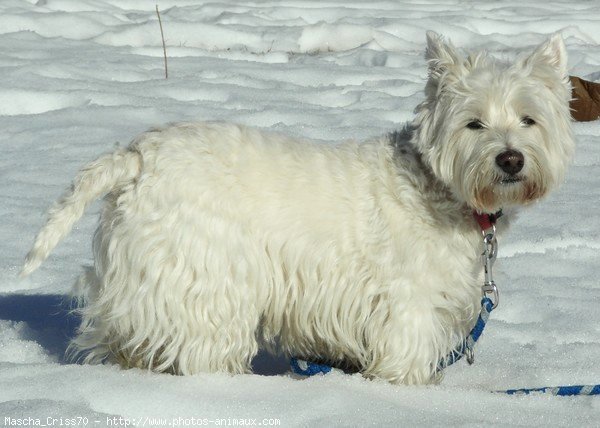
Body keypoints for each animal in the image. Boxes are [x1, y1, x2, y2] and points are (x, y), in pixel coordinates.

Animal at [22, 30, 572, 384]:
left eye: (529, 119)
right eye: (473, 123)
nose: (510, 159)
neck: (438, 187)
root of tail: (137, 156)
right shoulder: (408, 304)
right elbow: (406, 359)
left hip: (137, 277)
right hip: (206, 279)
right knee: (201, 347)